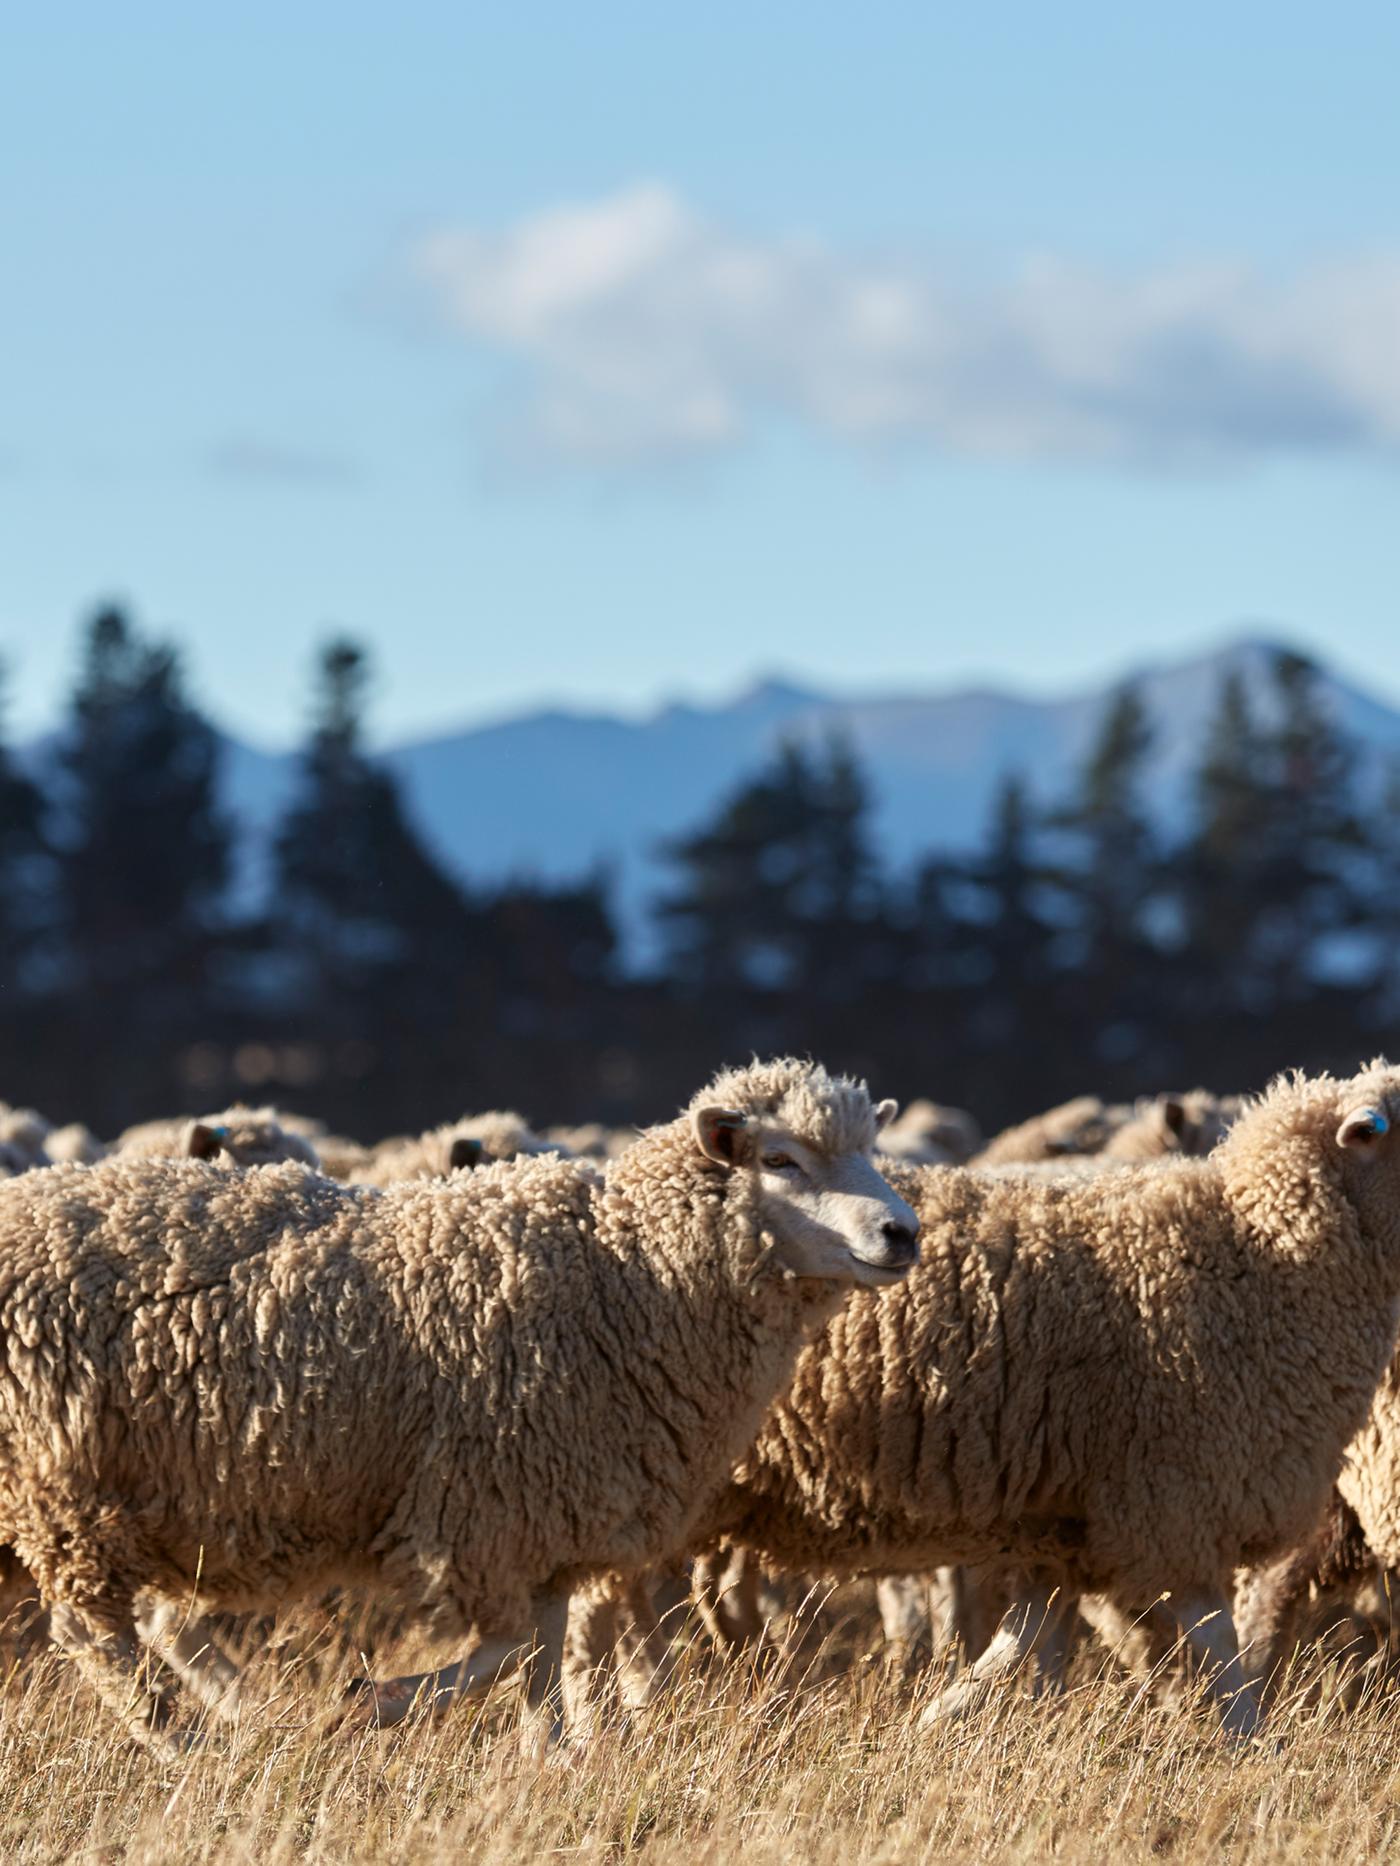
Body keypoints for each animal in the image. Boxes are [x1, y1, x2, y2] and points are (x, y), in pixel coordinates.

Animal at [0, 1057, 918, 1754]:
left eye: (870, 1149)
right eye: (780, 1160)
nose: (901, 1233)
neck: (629, 1273)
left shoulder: (547, 1522)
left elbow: (539, 1659)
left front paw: (551, 1757)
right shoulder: (487, 1506)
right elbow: (504, 1649)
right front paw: (370, 1702)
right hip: (64, 1485)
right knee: (92, 1633)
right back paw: (190, 1745)